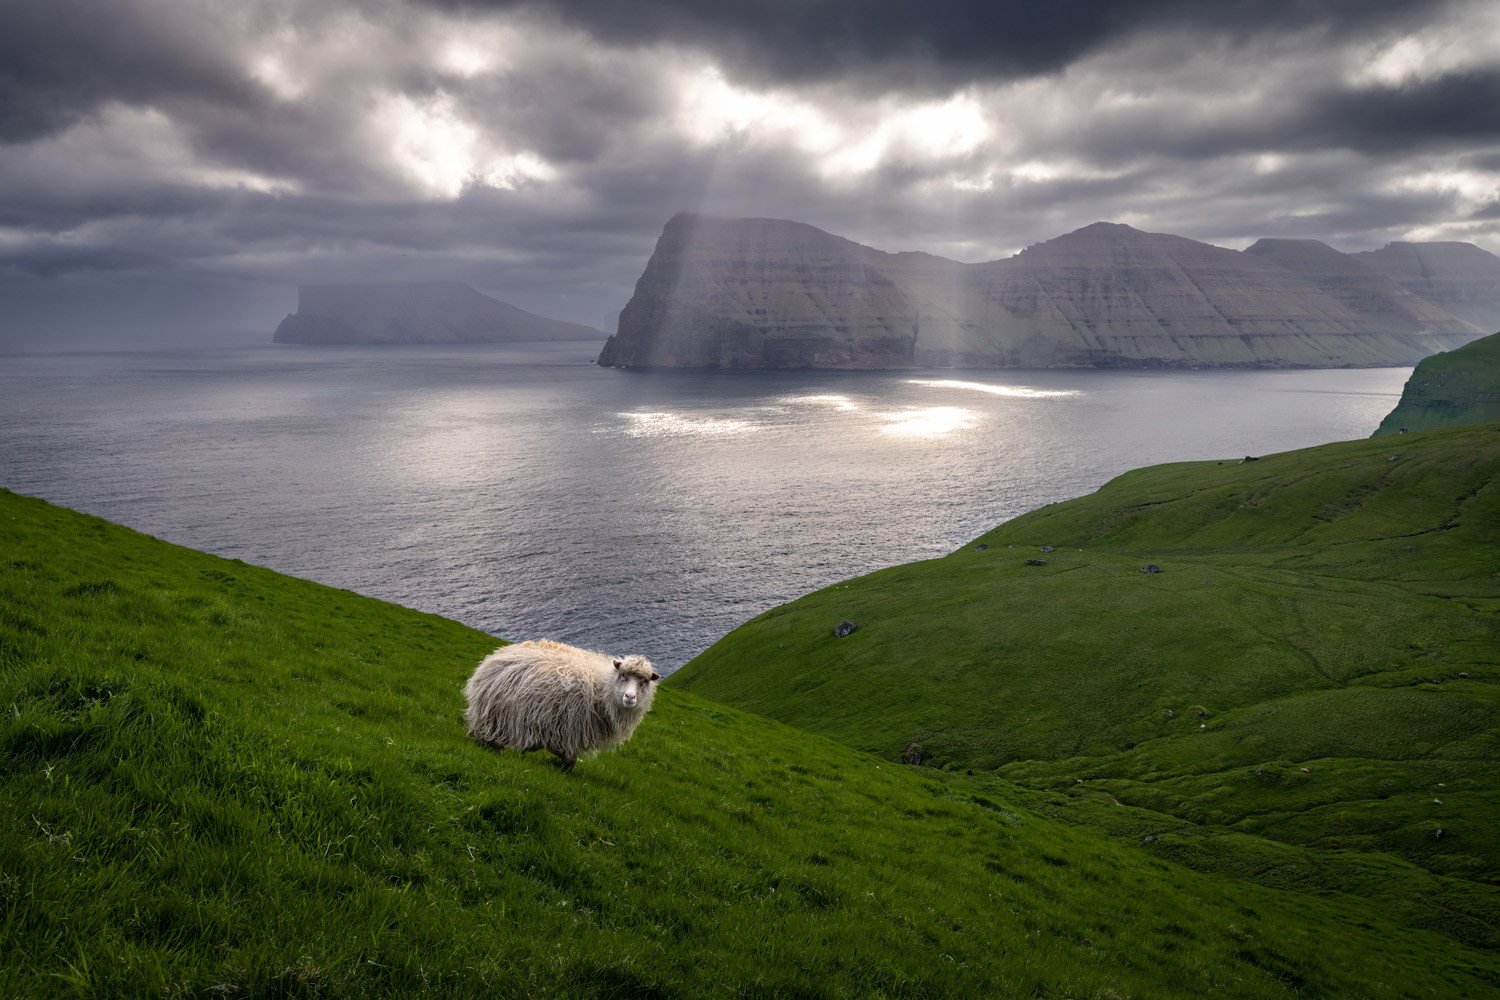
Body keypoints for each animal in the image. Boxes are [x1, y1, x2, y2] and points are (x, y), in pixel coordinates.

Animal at [464, 639, 659, 769]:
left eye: (644, 681)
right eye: (623, 676)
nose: (630, 697)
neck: (603, 686)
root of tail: (497, 655)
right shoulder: (571, 727)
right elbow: (569, 756)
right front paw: (563, 765)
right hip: (495, 714)